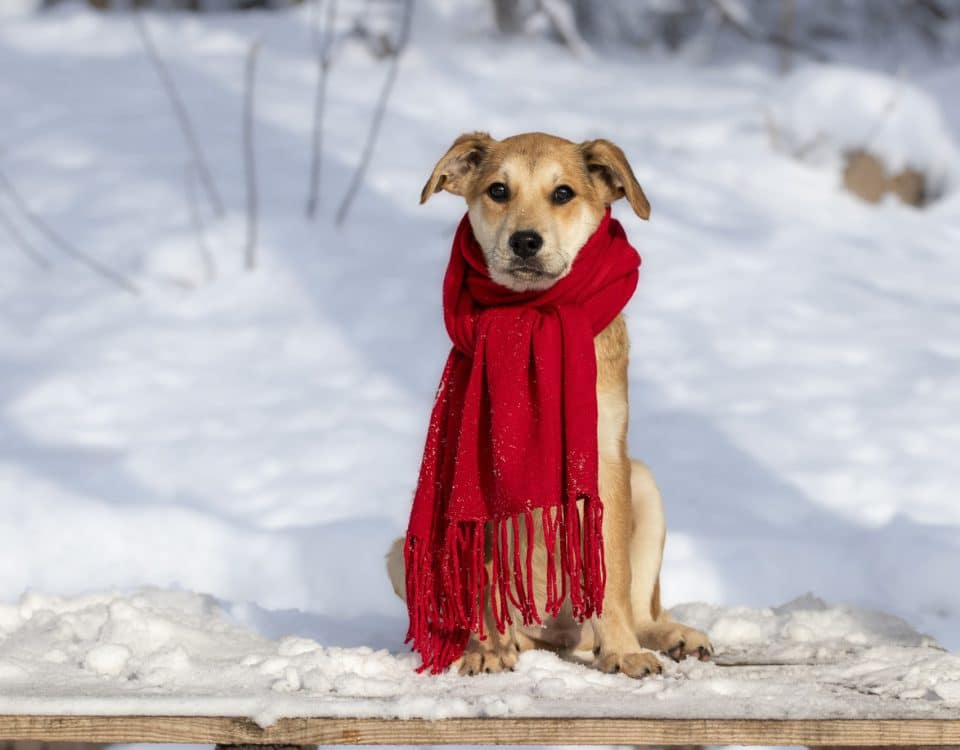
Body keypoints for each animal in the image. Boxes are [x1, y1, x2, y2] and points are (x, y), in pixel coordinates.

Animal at [386, 132, 708, 680]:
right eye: (498, 190)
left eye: (563, 193)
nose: (525, 242)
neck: (531, 314)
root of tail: (560, 634)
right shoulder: (473, 476)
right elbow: (480, 574)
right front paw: (482, 648)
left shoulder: (602, 460)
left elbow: (612, 574)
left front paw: (622, 651)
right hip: (400, 553)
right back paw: (503, 642)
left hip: (644, 481)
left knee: (643, 609)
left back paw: (667, 636)